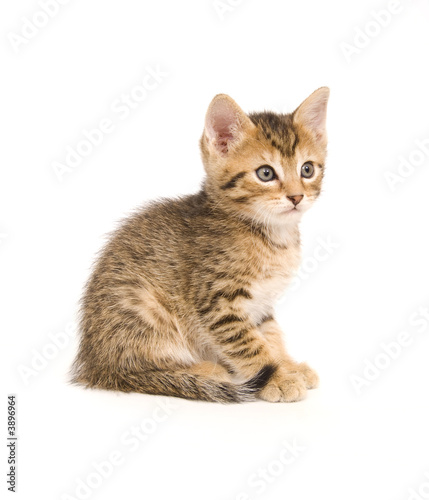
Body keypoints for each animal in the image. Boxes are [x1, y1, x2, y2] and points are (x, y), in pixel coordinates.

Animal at [72, 89, 330, 402]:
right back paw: (206, 371)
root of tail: (94, 364)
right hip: (144, 307)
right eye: (266, 174)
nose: (296, 197)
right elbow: (250, 345)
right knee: (141, 371)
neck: (272, 235)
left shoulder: (262, 303)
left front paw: (288, 365)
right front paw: (278, 378)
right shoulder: (216, 302)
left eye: (307, 169)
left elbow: (269, 335)